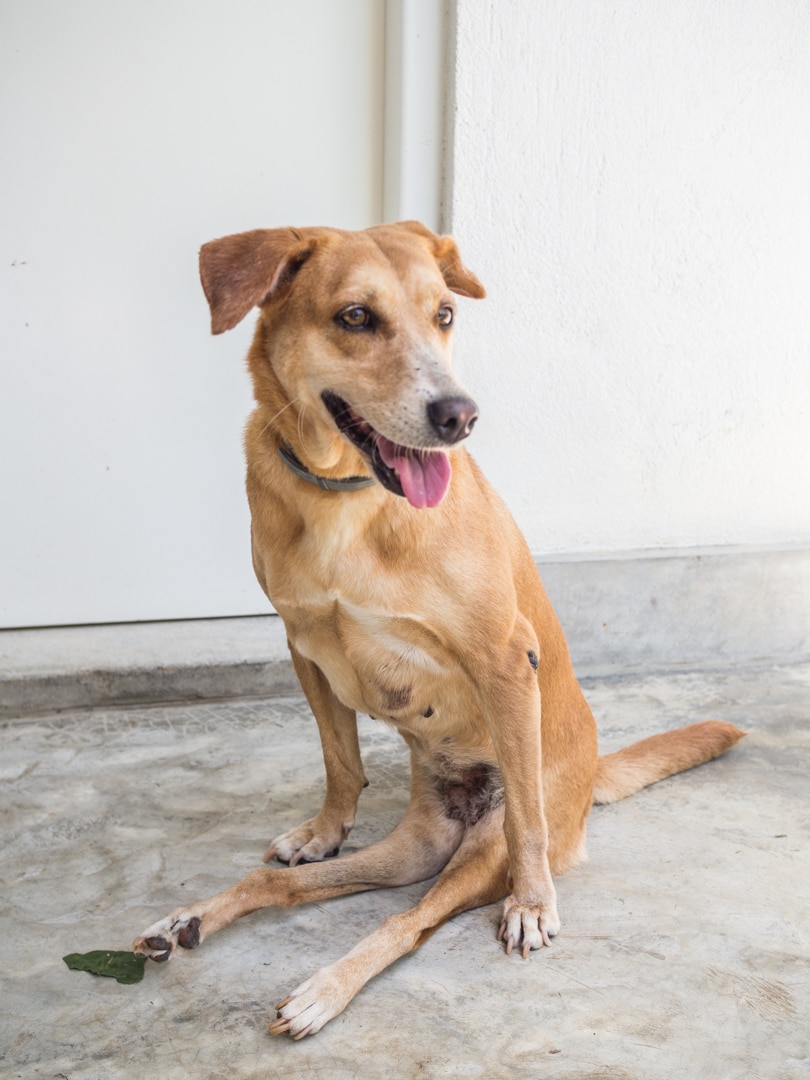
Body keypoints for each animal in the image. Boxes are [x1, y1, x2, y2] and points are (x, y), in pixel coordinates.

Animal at [135, 219, 747, 1036]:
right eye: (356, 316)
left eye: (445, 315)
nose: (460, 417)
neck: (346, 498)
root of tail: (590, 774)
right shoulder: (302, 644)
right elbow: (339, 761)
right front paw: (323, 830)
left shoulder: (502, 656)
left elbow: (516, 832)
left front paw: (534, 904)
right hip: (414, 849)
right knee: (296, 889)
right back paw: (192, 920)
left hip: (481, 854)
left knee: (413, 920)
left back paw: (324, 990)